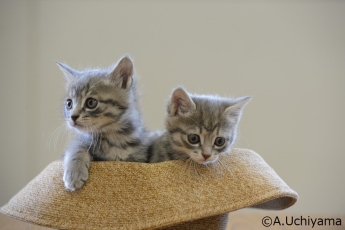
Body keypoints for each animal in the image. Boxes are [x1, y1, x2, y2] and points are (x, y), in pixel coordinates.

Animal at [56, 55, 148, 190]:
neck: (114, 138)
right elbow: (76, 149)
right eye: (69, 104)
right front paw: (74, 174)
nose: (73, 116)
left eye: (91, 102)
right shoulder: (81, 141)